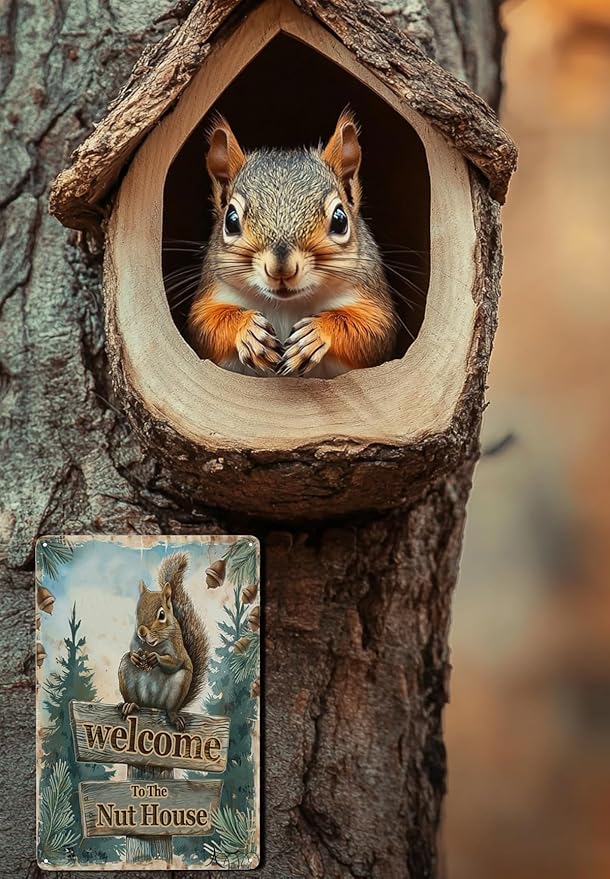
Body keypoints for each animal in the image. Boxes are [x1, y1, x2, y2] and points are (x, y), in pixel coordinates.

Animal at [118, 553, 208, 730]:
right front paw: (135, 657)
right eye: (137, 612)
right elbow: (131, 650)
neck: (153, 644)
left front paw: (156, 659)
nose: (141, 631)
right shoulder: (135, 642)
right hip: (125, 673)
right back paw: (130, 705)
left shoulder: (177, 646)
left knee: (170, 709)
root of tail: (152, 705)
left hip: (178, 686)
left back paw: (174, 717)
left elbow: (175, 661)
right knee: (133, 697)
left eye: (161, 615)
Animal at [187, 111, 397, 379]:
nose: (281, 269)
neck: (287, 305)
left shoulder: (370, 297)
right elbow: (205, 324)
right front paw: (250, 332)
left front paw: (315, 334)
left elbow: (373, 332)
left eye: (340, 220)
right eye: (231, 220)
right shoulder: (213, 292)